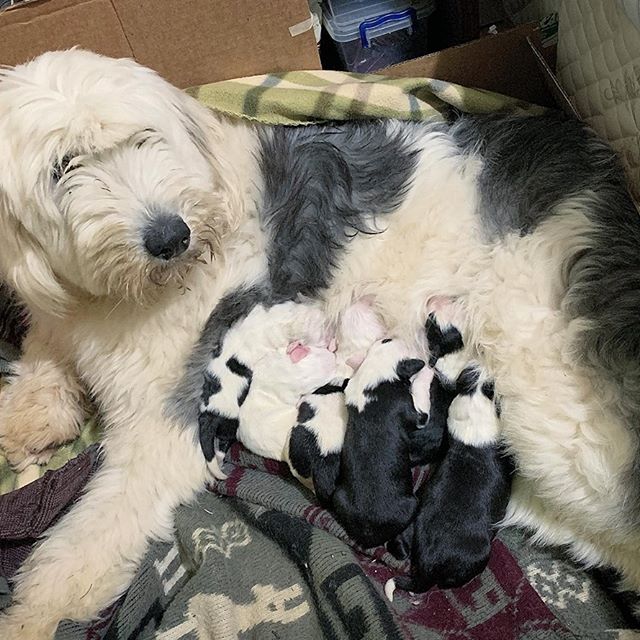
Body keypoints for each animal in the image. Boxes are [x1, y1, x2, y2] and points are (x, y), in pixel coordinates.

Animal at [330, 338, 424, 548]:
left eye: (385, 340)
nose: (391, 337)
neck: (376, 368)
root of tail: (368, 532)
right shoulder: (416, 414)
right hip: (412, 503)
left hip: (338, 496)